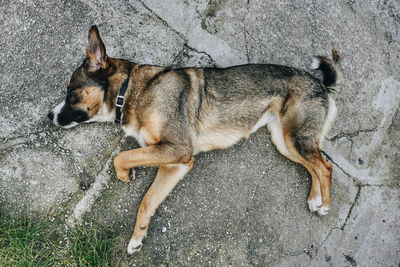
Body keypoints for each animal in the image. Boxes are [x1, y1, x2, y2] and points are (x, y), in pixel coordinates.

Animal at [47, 25, 340, 255]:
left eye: (71, 92)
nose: (49, 115)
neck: (130, 91)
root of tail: (320, 84)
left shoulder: (176, 149)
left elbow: (122, 157)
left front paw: (123, 174)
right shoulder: (176, 163)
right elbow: (147, 201)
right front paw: (137, 238)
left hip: (294, 138)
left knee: (325, 166)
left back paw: (325, 205)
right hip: (284, 141)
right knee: (314, 165)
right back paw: (315, 198)